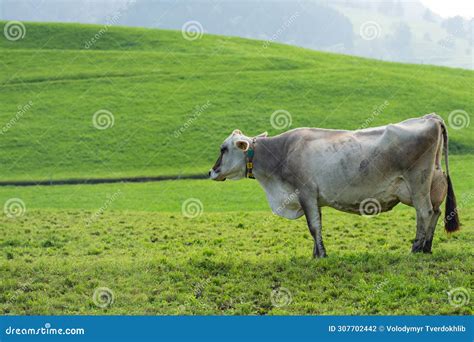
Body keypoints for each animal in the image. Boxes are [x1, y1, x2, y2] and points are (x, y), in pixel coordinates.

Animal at [208, 113, 460, 258]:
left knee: (424, 212)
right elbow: (317, 224)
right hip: (431, 184)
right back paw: (426, 247)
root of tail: (429, 118)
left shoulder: (306, 193)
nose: (211, 171)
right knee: (436, 212)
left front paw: (321, 255)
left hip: (418, 182)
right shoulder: (314, 199)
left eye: (223, 148)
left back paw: (416, 248)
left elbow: (313, 226)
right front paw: (315, 253)